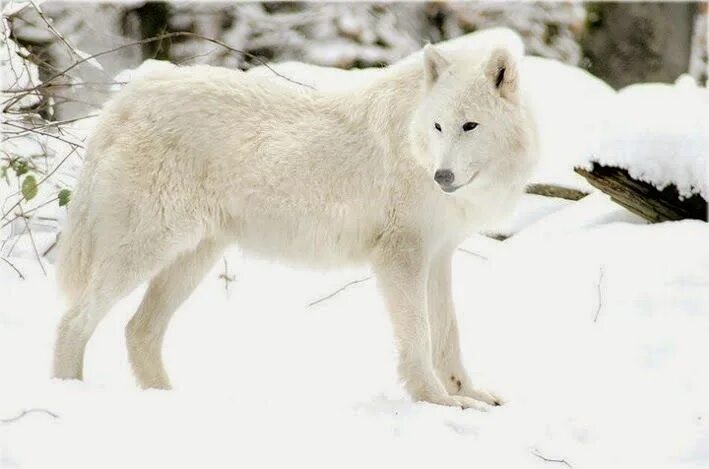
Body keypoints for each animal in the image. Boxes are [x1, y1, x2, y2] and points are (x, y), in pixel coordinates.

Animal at [52, 37, 536, 410]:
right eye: (438, 127)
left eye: (469, 126)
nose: (442, 176)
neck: (413, 141)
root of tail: (129, 96)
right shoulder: (402, 257)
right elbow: (418, 338)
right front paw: (437, 401)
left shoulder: (439, 255)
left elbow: (448, 333)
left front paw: (468, 394)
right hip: (144, 253)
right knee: (73, 321)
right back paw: (67, 391)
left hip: (191, 260)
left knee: (139, 330)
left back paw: (165, 400)